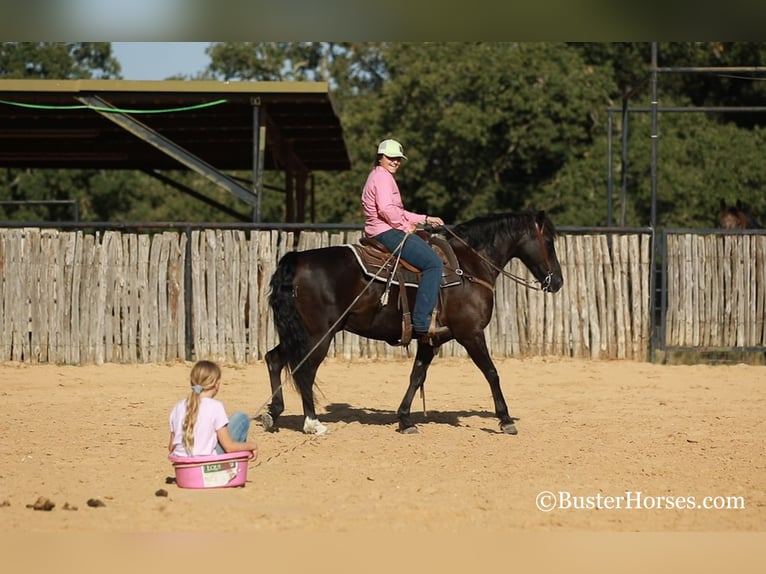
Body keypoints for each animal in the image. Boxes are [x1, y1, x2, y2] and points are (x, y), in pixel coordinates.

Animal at [262, 212, 564, 436]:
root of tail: (298, 259)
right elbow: (491, 372)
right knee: (304, 371)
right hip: (319, 335)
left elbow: (417, 376)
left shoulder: (431, 339)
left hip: (300, 333)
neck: (468, 268)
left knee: (274, 359)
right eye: (549, 241)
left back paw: (272, 414)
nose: (558, 282)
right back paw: (312, 423)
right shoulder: (471, 334)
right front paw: (505, 419)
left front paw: (405, 419)